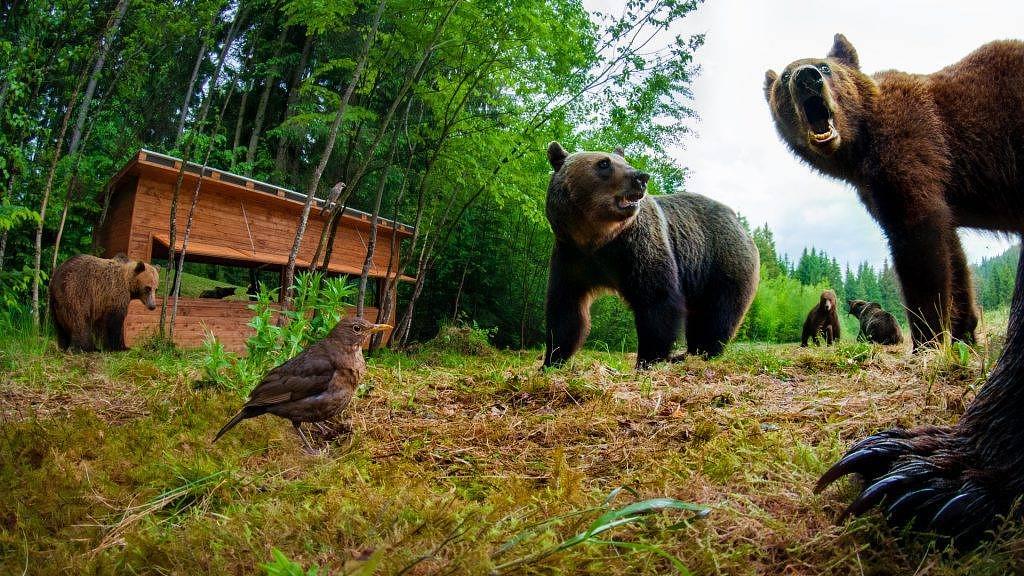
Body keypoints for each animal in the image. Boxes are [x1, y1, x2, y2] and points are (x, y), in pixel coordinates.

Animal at [543, 142, 759, 368]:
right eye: (604, 163)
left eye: (625, 162)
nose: (641, 177)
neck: (599, 240)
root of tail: (738, 222)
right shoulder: (572, 257)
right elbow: (566, 309)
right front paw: (552, 360)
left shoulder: (639, 249)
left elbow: (657, 300)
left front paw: (648, 359)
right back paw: (687, 354)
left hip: (722, 263)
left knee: (716, 314)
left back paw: (702, 352)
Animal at [763, 36, 1024, 545]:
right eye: (785, 76)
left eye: (825, 65)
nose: (808, 77)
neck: (858, 144)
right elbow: (955, 257)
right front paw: (964, 336)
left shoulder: (913, 154)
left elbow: (920, 246)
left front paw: (927, 345)